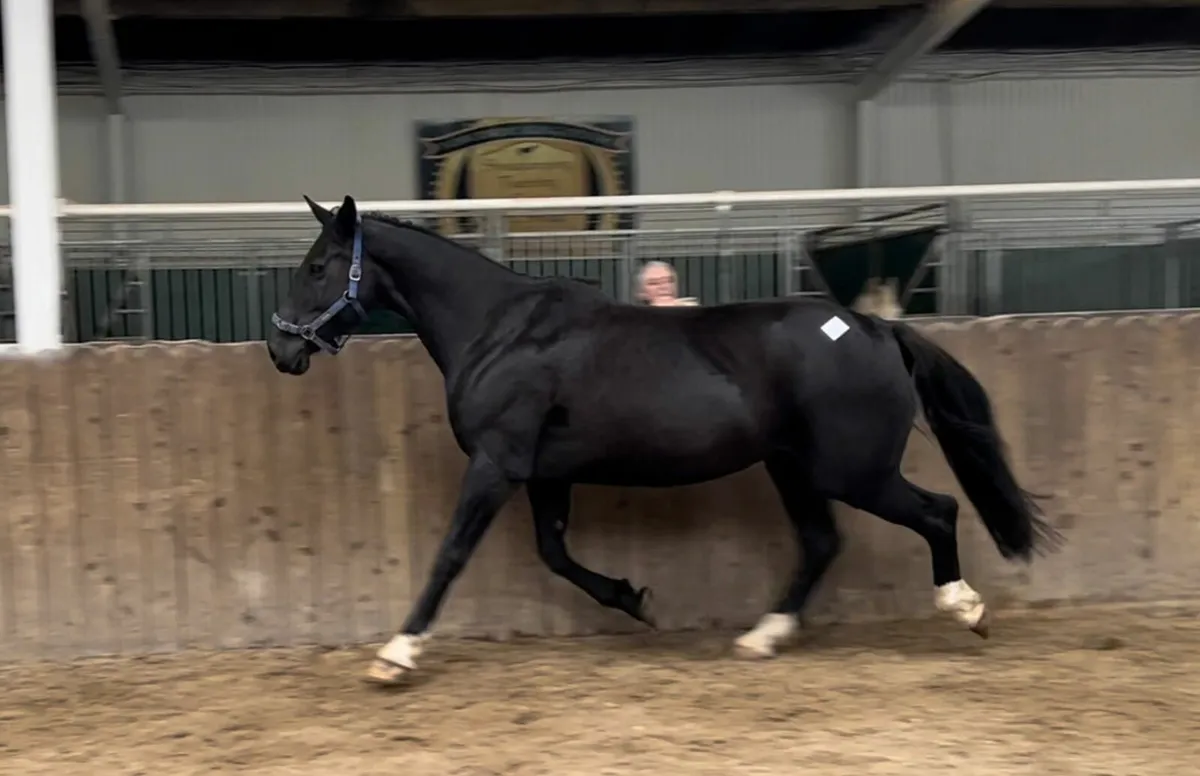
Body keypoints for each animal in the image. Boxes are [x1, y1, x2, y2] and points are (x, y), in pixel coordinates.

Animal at [266, 194, 1060, 686]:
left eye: (317, 267)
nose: (281, 349)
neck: (500, 329)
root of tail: (875, 328)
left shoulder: (497, 464)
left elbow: (451, 555)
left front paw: (395, 655)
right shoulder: (546, 474)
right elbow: (555, 554)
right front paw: (633, 599)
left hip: (852, 470)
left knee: (936, 512)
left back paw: (966, 609)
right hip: (793, 467)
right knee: (820, 542)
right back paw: (762, 637)